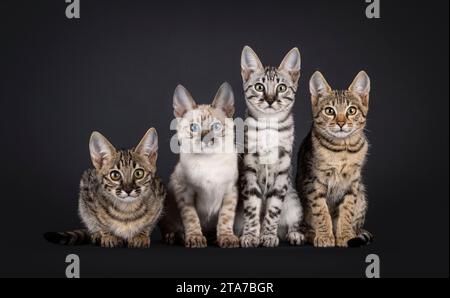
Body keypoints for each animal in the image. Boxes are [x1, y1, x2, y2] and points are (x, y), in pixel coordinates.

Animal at [160, 82, 241, 248]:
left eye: (216, 127)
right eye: (194, 128)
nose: (205, 138)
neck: (209, 161)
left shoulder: (230, 191)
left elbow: (226, 217)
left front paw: (227, 237)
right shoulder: (185, 193)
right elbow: (191, 218)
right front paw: (195, 237)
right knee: (168, 227)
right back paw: (174, 236)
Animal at [237, 46, 304, 247]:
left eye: (281, 88)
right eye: (259, 87)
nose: (270, 99)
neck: (268, 125)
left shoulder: (282, 171)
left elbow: (273, 210)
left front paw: (267, 235)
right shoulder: (249, 168)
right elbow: (252, 208)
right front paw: (251, 236)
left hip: (293, 199)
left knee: (292, 222)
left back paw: (294, 234)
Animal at [298, 71, 374, 248]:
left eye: (351, 110)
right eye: (329, 111)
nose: (341, 123)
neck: (342, 150)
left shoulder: (352, 184)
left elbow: (347, 211)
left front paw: (345, 235)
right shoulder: (314, 182)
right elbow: (321, 211)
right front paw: (325, 236)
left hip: (361, 195)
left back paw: (353, 233)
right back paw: (309, 234)